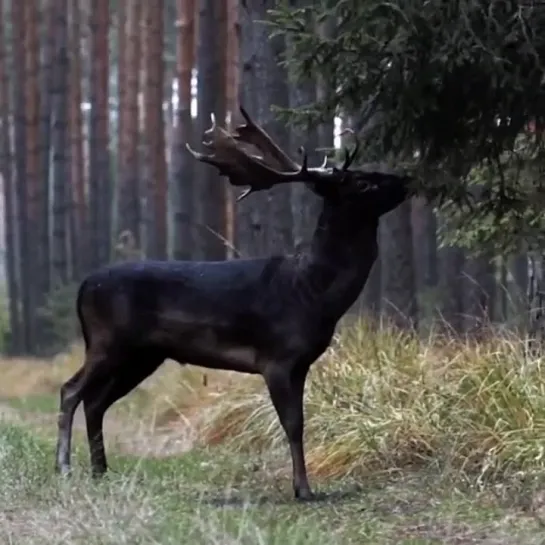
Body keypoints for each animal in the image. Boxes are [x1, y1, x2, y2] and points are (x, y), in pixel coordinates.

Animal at [54, 104, 412, 500]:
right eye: (362, 182)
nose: (406, 179)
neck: (313, 292)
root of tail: (84, 286)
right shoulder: (276, 357)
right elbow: (293, 424)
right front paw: (303, 489)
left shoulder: (301, 362)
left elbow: (300, 422)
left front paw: (303, 485)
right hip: (108, 341)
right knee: (71, 390)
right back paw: (65, 467)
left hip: (142, 355)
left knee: (96, 401)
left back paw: (101, 470)